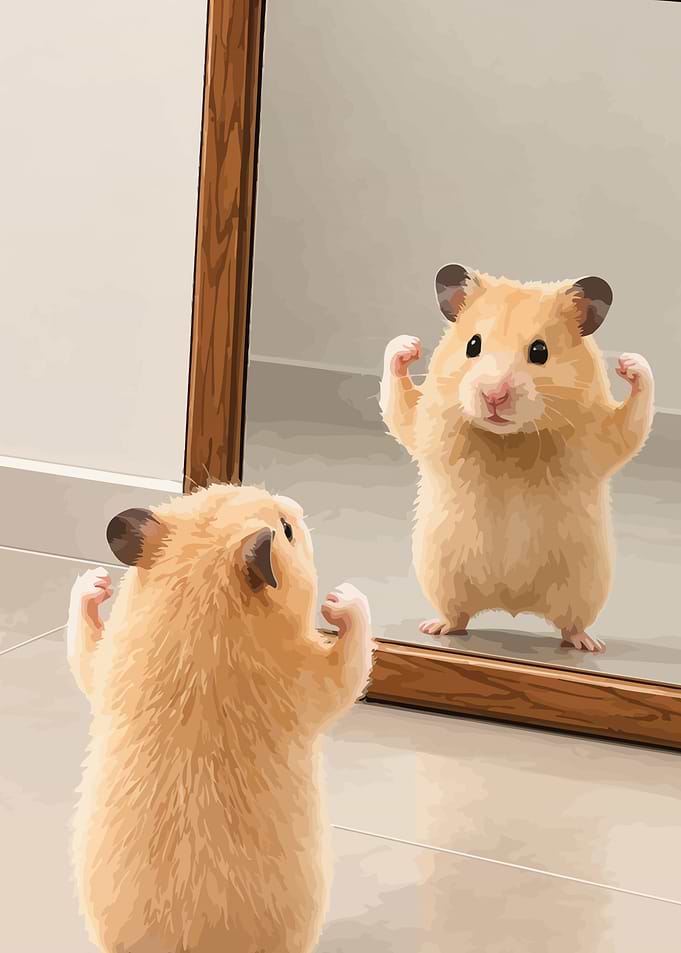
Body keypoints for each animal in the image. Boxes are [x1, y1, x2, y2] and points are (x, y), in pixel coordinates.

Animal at [67, 483, 374, 953]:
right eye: (287, 531)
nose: (298, 507)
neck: (198, 596)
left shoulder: (102, 664)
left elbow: (82, 643)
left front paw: (96, 580)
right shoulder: (317, 682)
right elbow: (353, 655)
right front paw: (340, 598)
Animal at [379, 264, 655, 653]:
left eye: (540, 351)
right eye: (473, 345)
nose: (494, 396)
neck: (509, 440)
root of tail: (511, 605)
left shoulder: (601, 437)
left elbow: (632, 420)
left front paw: (628, 364)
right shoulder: (423, 424)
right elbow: (399, 405)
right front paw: (410, 345)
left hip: (586, 586)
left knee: (571, 625)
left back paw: (589, 644)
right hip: (440, 575)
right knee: (456, 615)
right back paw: (434, 627)